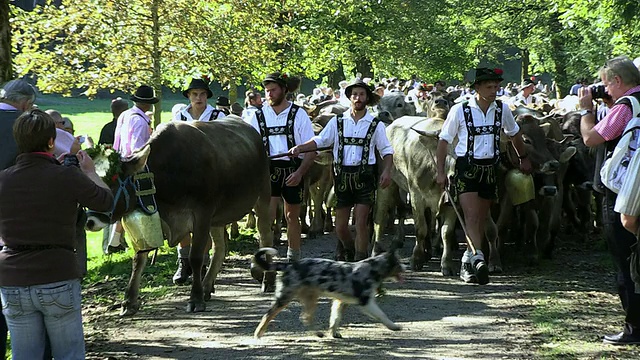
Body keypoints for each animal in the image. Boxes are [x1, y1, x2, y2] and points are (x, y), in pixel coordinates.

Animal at [252, 248, 402, 338]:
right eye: (399, 264)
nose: (406, 267)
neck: (372, 269)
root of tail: (290, 265)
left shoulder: (341, 302)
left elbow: (335, 319)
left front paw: (333, 333)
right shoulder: (366, 302)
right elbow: (382, 315)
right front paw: (393, 326)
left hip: (311, 298)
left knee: (306, 317)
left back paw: (318, 333)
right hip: (285, 297)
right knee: (267, 315)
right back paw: (258, 334)